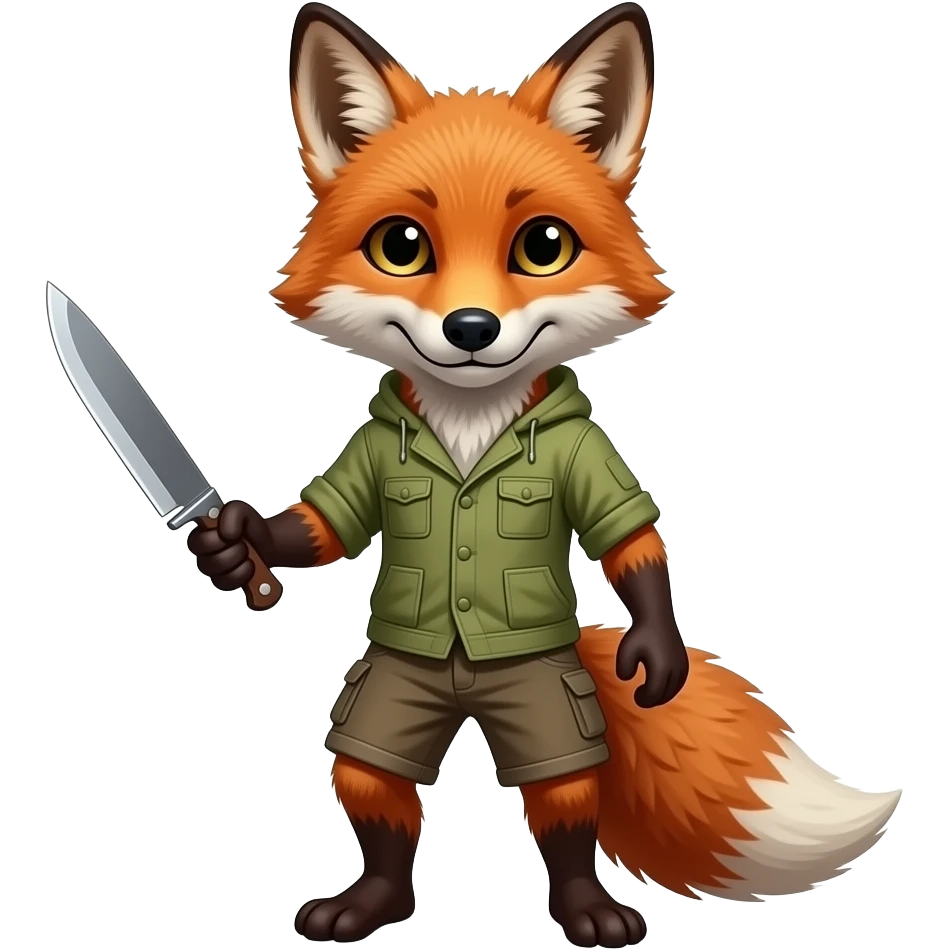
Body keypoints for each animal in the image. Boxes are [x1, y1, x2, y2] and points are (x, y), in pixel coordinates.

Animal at [184, 3, 903, 947]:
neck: (469, 421)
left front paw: (657, 654)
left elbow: (630, 540)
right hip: (387, 700)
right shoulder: (373, 459)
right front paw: (237, 543)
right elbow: (324, 527)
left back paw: (587, 910)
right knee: (376, 785)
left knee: (563, 796)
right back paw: (373, 903)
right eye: (401, 246)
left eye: (543, 246)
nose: (471, 328)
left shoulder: (586, 458)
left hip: (548, 704)